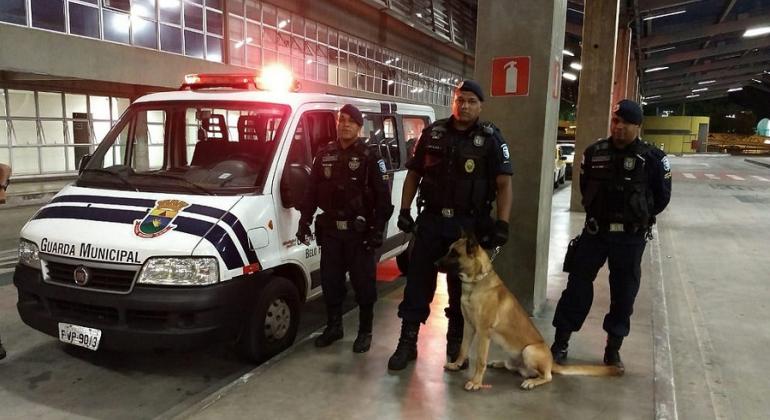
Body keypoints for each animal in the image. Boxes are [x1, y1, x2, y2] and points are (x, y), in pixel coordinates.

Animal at [436, 233, 620, 390]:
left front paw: (476, 382)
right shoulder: (468, 327)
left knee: (547, 377)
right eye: (449, 251)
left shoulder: (483, 333)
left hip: (529, 350)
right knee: (515, 368)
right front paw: (456, 365)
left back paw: (532, 382)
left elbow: (480, 360)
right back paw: (501, 363)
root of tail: (552, 362)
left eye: (454, 254)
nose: (434, 264)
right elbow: (463, 349)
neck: (475, 282)